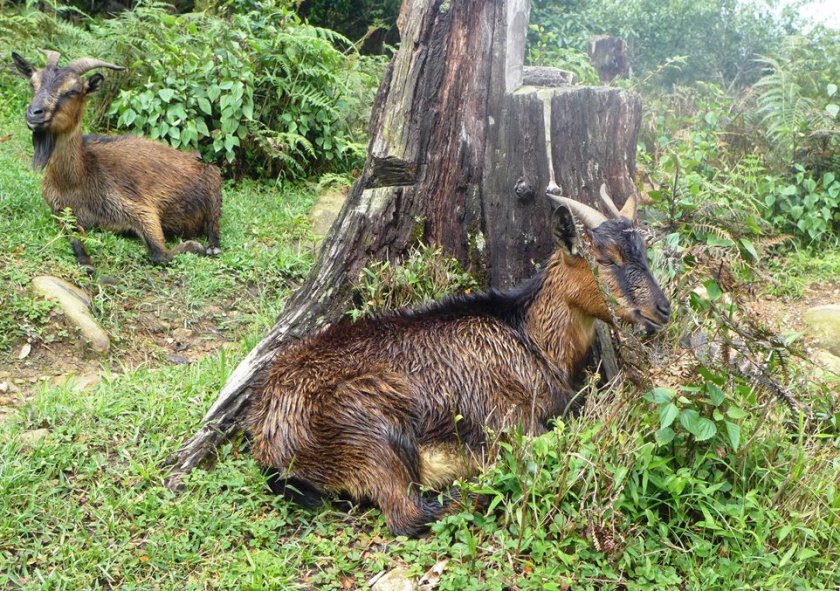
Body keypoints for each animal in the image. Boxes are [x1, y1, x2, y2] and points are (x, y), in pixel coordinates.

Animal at [11, 50, 222, 267]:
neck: (76, 179)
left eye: (72, 91)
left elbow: (159, 254)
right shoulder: (61, 212)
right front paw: (87, 261)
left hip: (214, 186)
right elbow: (74, 238)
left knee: (213, 226)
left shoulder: (139, 207)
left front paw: (197, 247)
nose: (34, 114)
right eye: (33, 84)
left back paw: (212, 247)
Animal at [246, 188, 672, 537]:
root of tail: (267, 435)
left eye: (644, 251)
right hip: (371, 426)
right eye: (604, 258)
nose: (662, 310)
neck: (527, 335)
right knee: (408, 514)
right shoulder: (510, 417)